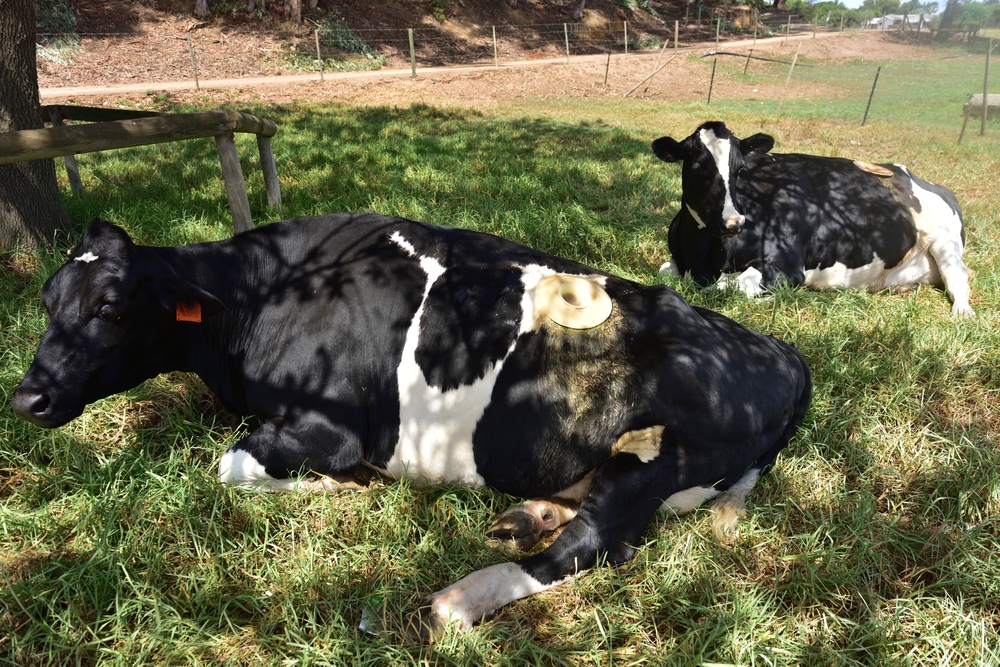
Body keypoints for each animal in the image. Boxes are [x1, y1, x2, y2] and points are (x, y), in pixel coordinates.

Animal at [11, 214, 812, 636]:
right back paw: (526, 514)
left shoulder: (334, 428)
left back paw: (459, 599)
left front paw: (344, 486)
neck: (265, 298)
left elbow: (232, 463)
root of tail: (783, 352)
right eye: (48, 299)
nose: (27, 399)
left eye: (110, 304)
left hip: (651, 454)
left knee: (589, 545)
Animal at [652, 121, 972, 318]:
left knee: (959, 279)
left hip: (946, 241)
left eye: (740, 169)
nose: (734, 223)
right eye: (697, 168)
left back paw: (963, 311)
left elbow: (721, 288)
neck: (701, 258)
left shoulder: (787, 268)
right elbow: (665, 271)